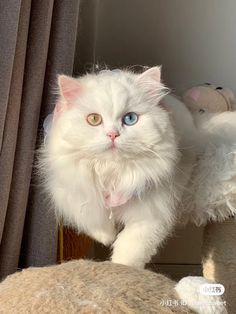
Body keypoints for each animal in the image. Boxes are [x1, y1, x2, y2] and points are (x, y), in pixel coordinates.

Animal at [41, 66, 197, 268]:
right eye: (94, 119)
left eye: (130, 119)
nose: (113, 135)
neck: (111, 171)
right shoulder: (73, 193)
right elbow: (91, 219)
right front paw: (107, 237)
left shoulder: (150, 216)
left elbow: (129, 251)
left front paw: (120, 269)